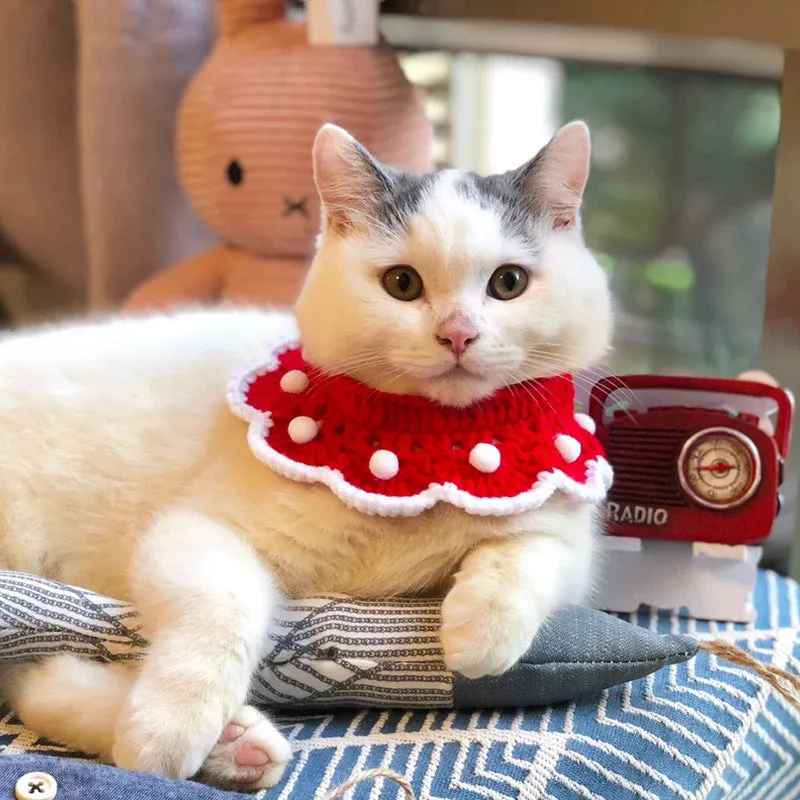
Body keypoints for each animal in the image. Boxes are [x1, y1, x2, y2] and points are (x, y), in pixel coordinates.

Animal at [0, 122, 612, 792]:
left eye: (508, 283)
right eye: (402, 284)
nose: (458, 333)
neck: (424, 445)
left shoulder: (569, 538)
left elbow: (531, 554)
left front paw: (481, 633)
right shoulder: (197, 529)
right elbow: (224, 605)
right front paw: (172, 721)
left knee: (38, 679)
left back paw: (233, 747)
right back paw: (195, 741)